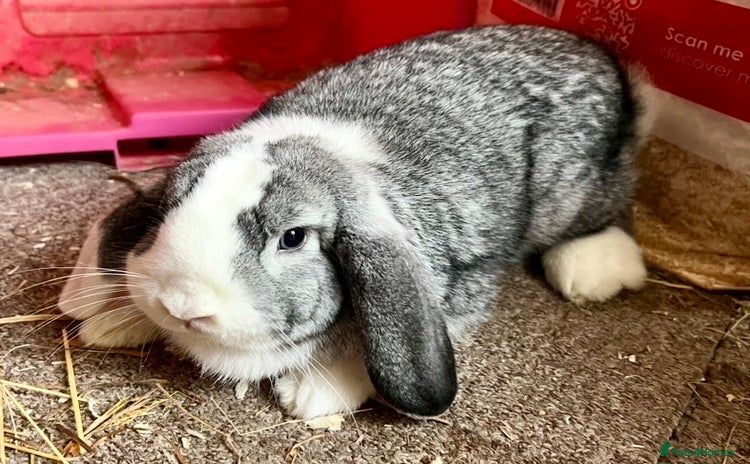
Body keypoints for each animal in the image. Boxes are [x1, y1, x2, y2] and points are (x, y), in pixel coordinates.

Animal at [58, 24, 654, 419]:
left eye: (293, 238)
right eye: (169, 208)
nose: (183, 306)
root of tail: (607, 61)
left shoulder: (456, 290)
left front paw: (313, 396)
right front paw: (108, 321)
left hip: (573, 195)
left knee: (611, 215)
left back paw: (593, 272)